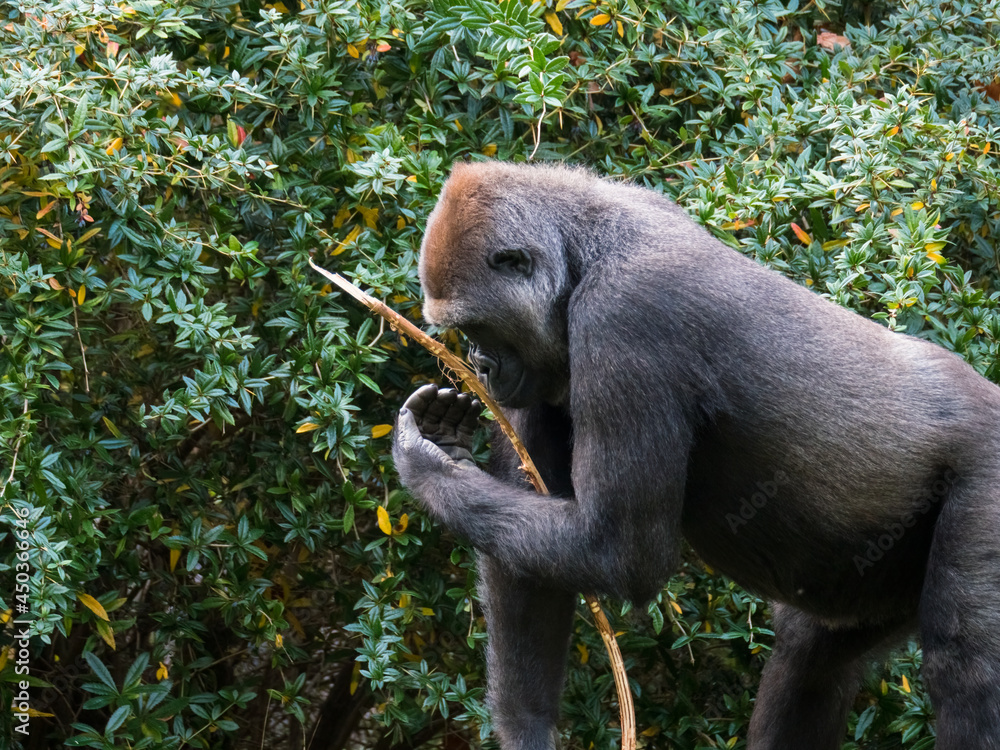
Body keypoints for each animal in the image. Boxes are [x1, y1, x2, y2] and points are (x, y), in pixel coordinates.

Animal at [391, 161, 1000, 750]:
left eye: (476, 327)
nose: (479, 363)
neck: (581, 251)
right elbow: (529, 566)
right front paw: (528, 732)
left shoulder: (625, 316)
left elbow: (620, 550)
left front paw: (429, 465)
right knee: (812, 654)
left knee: (967, 671)